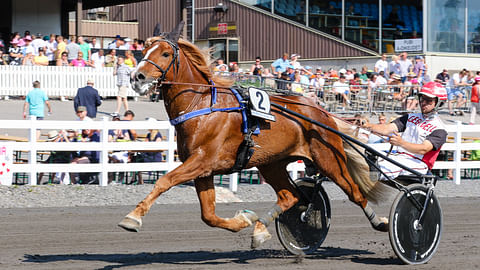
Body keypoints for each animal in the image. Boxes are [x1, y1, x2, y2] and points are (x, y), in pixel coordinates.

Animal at [119, 23, 390, 249]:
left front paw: (132, 218)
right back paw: (260, 230)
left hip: (329, 160)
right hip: (272, 164)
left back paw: (381, 222)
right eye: (144, 50)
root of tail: (321, 111)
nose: (137, 77)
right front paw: (245, 220)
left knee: (354, 192)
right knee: (290, 196)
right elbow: (208, 215)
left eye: (165, 53)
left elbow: (164, 181)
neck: (202, 105)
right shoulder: (203, 170)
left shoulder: (202, 161)